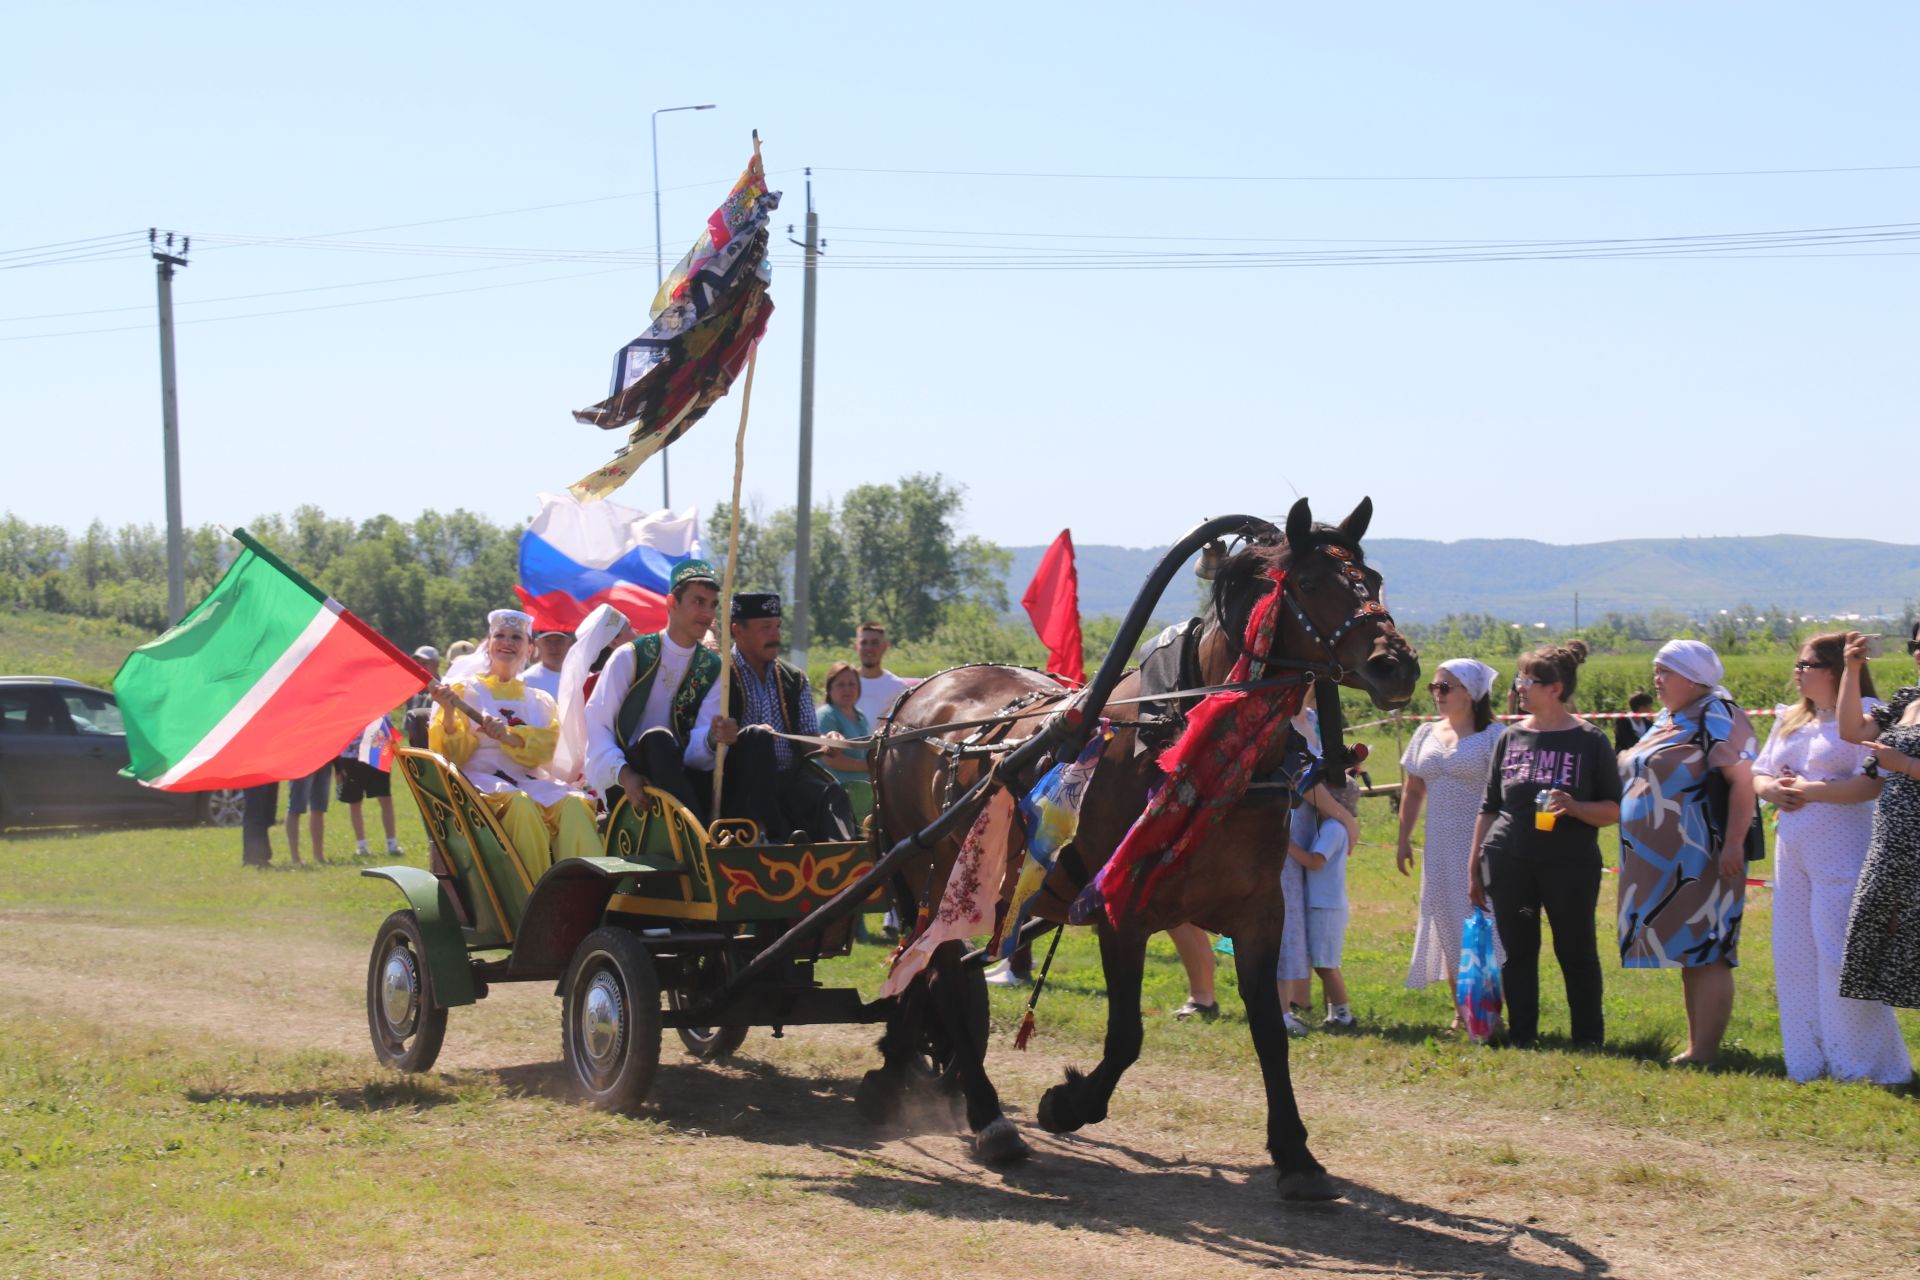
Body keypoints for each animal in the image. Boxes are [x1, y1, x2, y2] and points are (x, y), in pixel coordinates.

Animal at [864, 498, 1420, 1205]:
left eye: (1372, 579)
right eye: (1310, 582)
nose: (1396, 665)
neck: (1197, 743)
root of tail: (912, 700)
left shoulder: (1261, 914)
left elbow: (1270, 1033)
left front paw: (1296, 1154)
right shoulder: (1120, 910)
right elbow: (1127, 1034)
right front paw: (1067, 1105)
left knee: (933, 970)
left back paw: (908, 1070)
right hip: (930, 870)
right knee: (938, 969)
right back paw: (988, 1117)